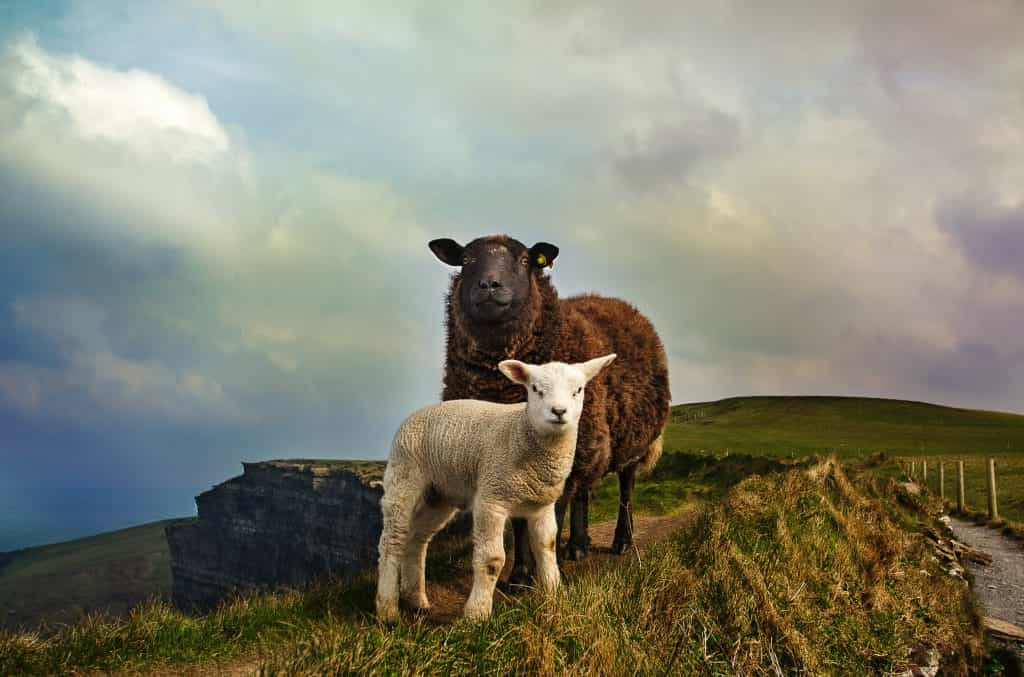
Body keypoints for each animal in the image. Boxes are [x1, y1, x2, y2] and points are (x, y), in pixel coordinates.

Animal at [376, 350, 614, 618]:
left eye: (578, 389)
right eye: (535, 389)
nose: (559, 411)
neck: (521, 432)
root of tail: (415, 414)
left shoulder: (541, 505)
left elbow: (547, 547)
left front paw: (553, 596)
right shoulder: (492, 498)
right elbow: (492, 560)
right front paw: (477, 613)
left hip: (438, 494)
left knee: (417, 539)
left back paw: (416, 600)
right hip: (403, 477)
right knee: (392, 540)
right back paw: (388, 610)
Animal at [425, 232, 671, 581]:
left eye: (525, 260)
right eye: (466, 260)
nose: (489, 284)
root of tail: (620, 304)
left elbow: (548, 517)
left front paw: (539, 575)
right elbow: (520, 520)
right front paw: (519, 575)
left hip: (631, 441)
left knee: (626, 489)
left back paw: (622, 541)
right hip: (592, 441)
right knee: (584, 491)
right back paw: (578, 546)